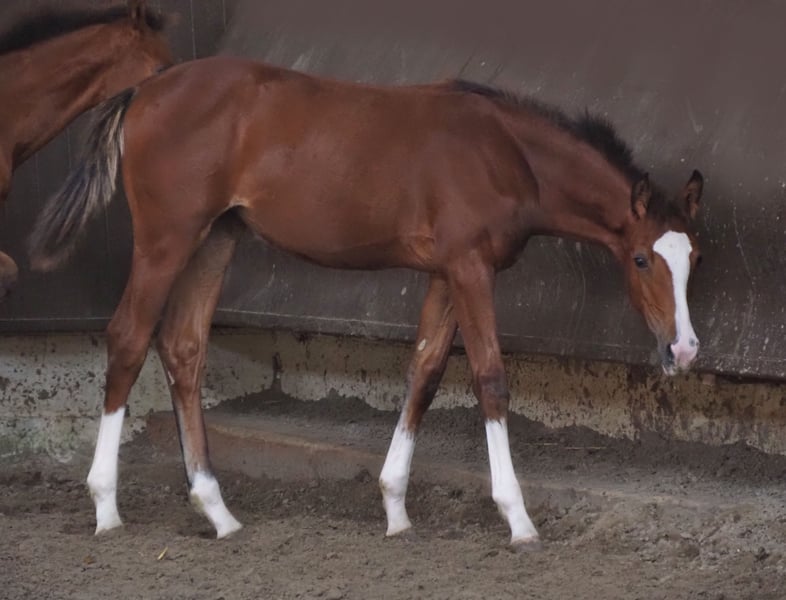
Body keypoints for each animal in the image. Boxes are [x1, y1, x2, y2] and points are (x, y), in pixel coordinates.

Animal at [28, 56, 704, 549]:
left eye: (693, 256)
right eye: (641, 259)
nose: (684, 349)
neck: (505, 152)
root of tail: (144, 88)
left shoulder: (446, 273)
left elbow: (425, 371)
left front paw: (395, 507)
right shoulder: (470, 268)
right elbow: (489, 377)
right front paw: (517, 519)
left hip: (216, 237)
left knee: (183, 347)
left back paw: (218, 511)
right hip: (167, 239)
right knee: (128, 337)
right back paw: (106, 506)